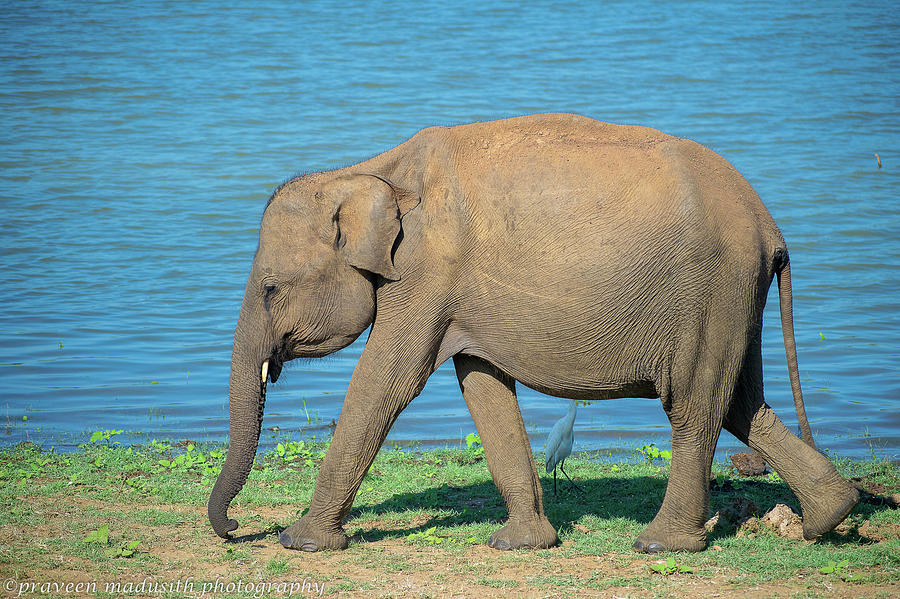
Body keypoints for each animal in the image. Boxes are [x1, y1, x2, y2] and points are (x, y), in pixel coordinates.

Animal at [207, 111, 860, 552]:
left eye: (271, 288)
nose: (237, 527)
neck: (365, 171)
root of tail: (769, 224)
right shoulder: (459, 294)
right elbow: (482, 385)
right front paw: (521, 543)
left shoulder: (425, 275)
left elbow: (386, 382)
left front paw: (302, 542)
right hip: (734, 297)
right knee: (741, 401)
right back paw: (830, 516)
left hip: (713, 287)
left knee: (695, 405)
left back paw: (661, 544)